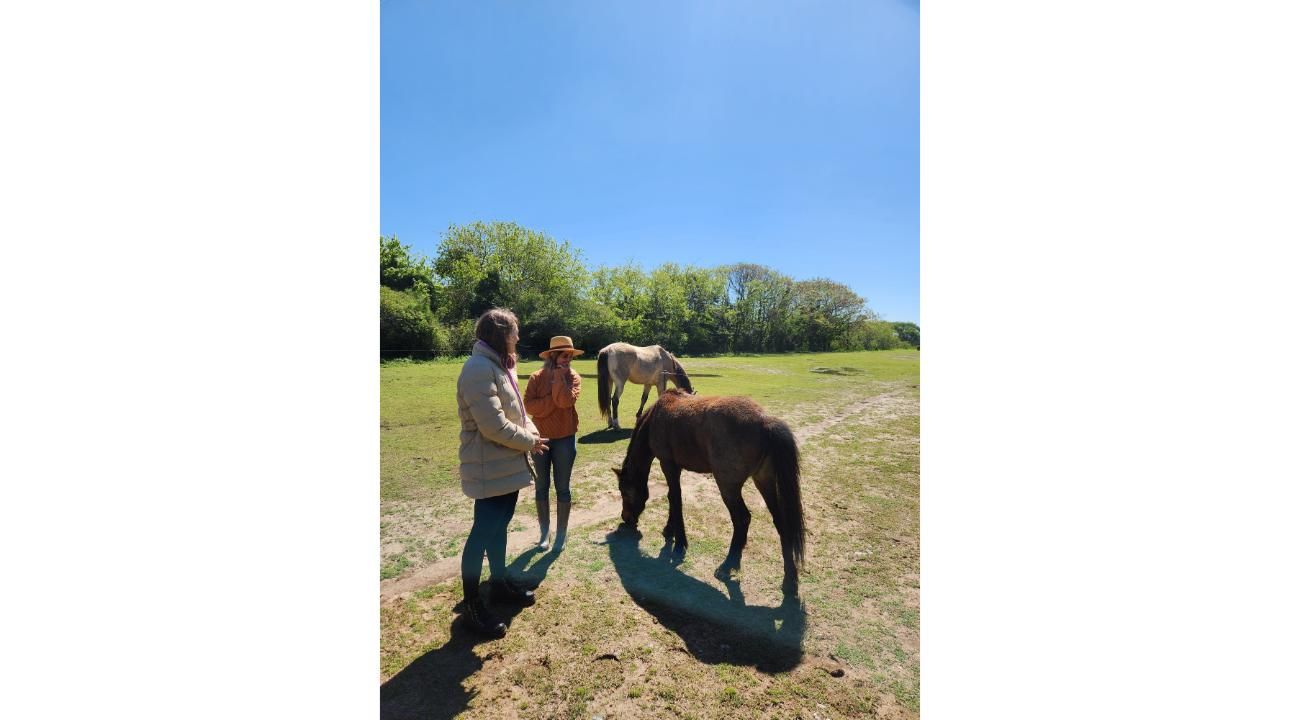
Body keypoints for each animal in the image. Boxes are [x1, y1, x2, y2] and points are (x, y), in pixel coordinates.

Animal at [612, 389, 806, 598]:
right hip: (764, 480)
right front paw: (669, 530)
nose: (625, 518)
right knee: (781, 522)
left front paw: (679, 543)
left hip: (728, 487)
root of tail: (764, 421)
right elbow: (672, 498)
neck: (655, 418)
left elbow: (675, 499)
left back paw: (728, 565)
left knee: (742, 519)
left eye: (624, 492)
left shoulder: (668, 464)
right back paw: (789, 580)